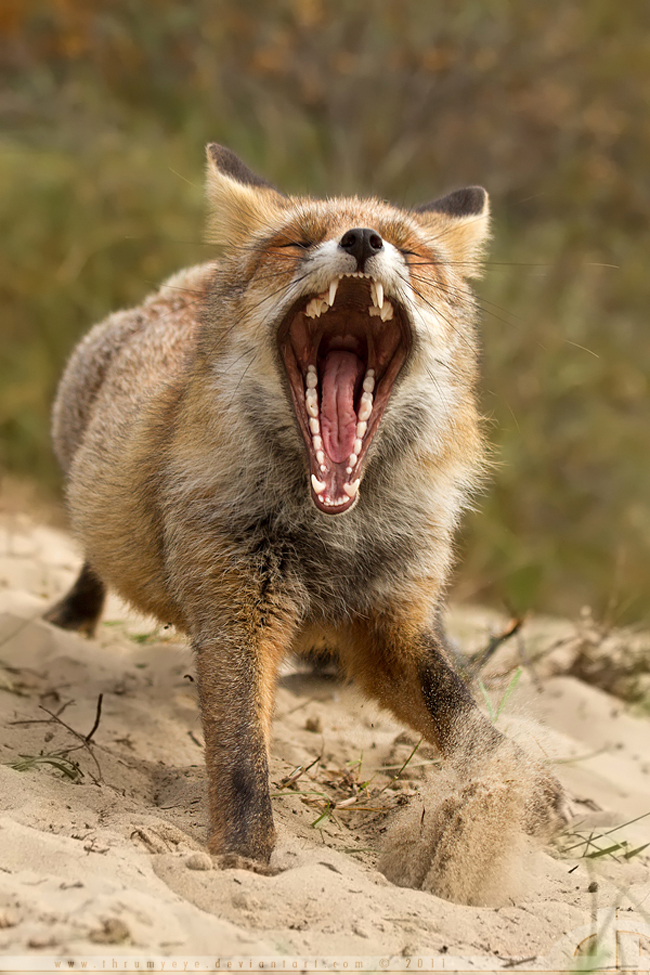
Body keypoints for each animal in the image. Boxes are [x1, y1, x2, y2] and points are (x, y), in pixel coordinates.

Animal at [44, 145, 566, 868]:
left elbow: (463, 714)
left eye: (412, 252)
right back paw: (76, 613)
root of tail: (186, 284)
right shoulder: (235, 603)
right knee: (91, 547)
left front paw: (519, 789)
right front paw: (242, 856)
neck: (336, 534)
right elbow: (241, 755)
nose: (363, 240)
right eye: (297, 243)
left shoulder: (391, 619)